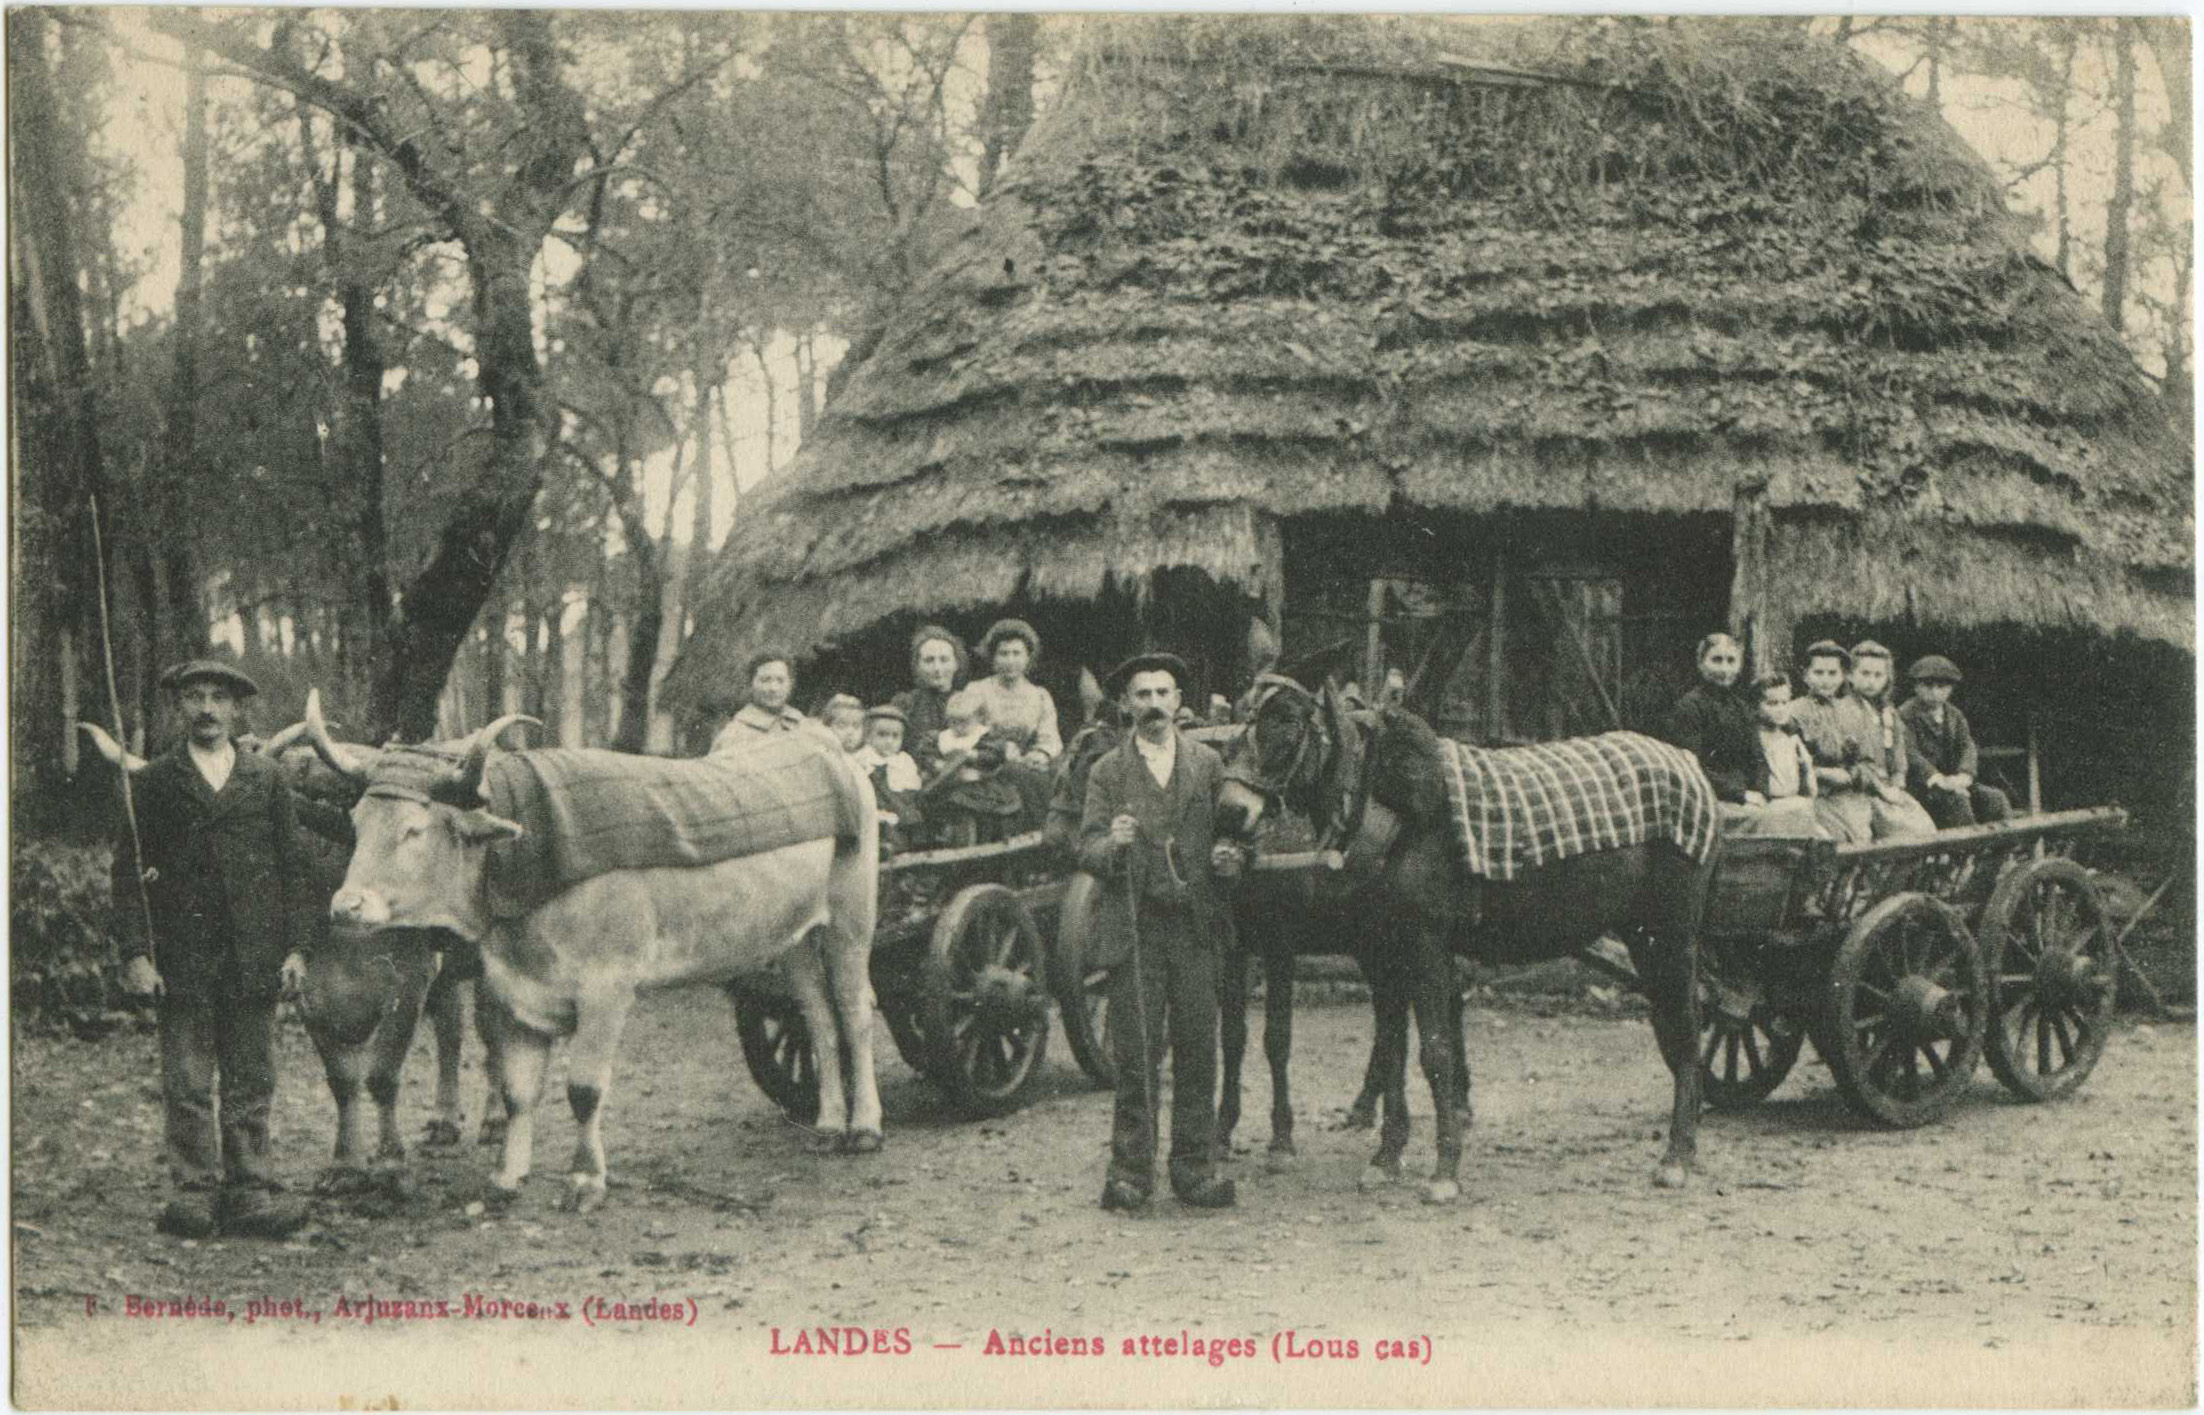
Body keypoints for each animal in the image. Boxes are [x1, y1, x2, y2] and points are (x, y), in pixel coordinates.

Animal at [1216, 661, 1710, 1190]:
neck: (1398, 815)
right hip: (1644, 937)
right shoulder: (1382, 953)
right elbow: (1393, 1049)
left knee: (1685, 1030)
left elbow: (1435, 1052)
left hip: (1671, 935)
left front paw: (1445, 1170)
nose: (1229, 811)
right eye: (1243, 716)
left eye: (1287, 722)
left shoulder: (1424, 945)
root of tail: (1689, 765)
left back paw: (1678, 1155)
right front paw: (1386, 1158)